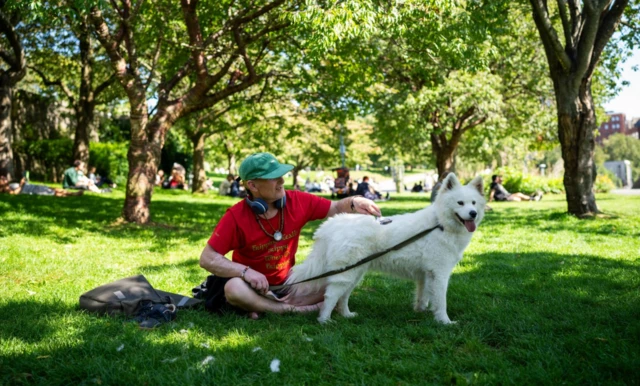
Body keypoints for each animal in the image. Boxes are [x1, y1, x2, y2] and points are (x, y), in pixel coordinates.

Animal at [284, 173, 484, 324]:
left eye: (474, 203)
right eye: (460, 203)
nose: (473, 214)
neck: (440, 224)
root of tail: (333, 224)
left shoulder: (426, 274)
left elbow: (424, 295)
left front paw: (421, 311)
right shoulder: (440, 273)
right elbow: (441, 301)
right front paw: (445, 322)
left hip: (355, 273)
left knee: (343, 297)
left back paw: (347, 315)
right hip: (346, 273)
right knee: (331, 296)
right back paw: (325, 320)